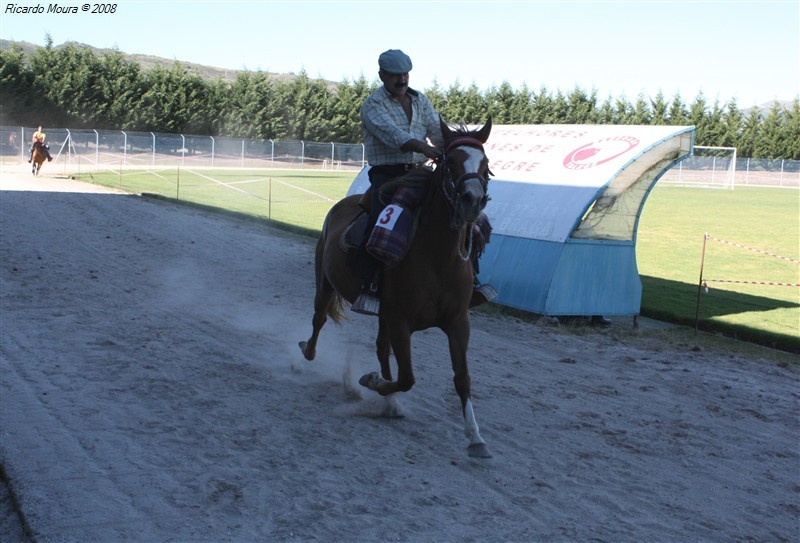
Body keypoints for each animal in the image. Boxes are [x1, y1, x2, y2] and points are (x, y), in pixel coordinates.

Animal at [302, 117, 494, 456]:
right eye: (450, 162)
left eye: (485, 164)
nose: (472, 201)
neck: (437, 256)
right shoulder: (401, 321)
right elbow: (407, 377)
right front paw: (372, 382)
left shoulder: (458, 322)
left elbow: (462, 378)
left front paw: (475, 437)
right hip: (325, 284)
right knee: (319, 319)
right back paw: (309, 351)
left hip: (383, 314)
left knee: (380, 348)